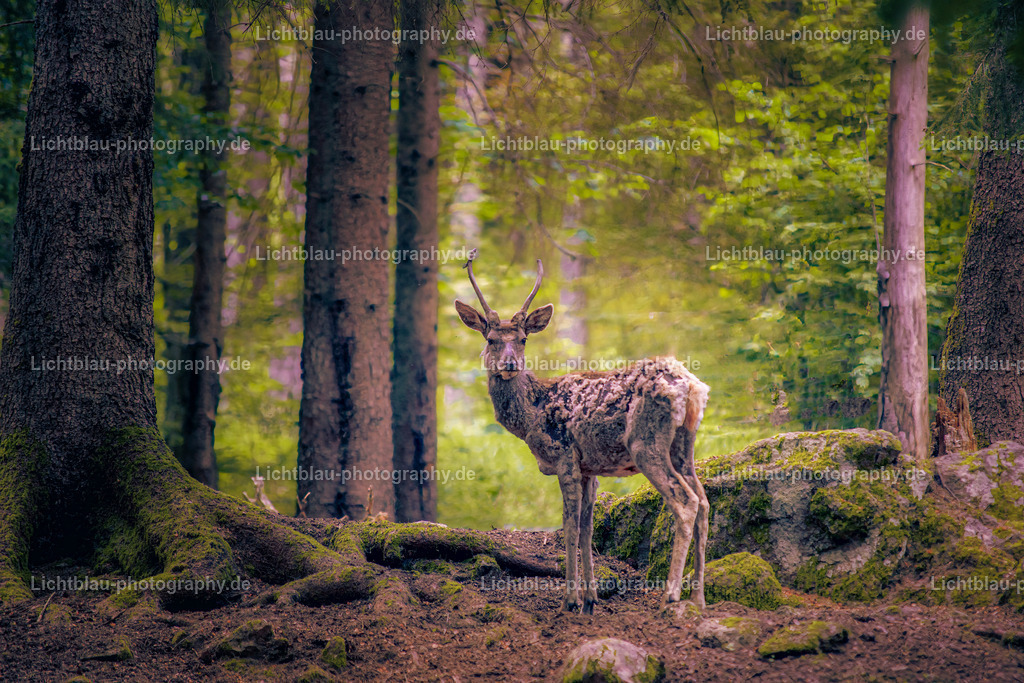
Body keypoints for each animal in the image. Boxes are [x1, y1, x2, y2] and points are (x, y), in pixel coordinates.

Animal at [455, 255, 711, 614]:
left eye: (522, 339)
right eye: (490, 339)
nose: (509, 364)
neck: (532, 414)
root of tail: (692, 386)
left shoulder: (565, 456)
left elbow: (570, 526)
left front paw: (570, 600)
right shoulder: (591, 467)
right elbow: (588, 529)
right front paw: (591, 598)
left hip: (645, 442)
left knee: (686, 501)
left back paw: (671, 595)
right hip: (684, 444)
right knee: (704, 501)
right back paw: (698, 598)